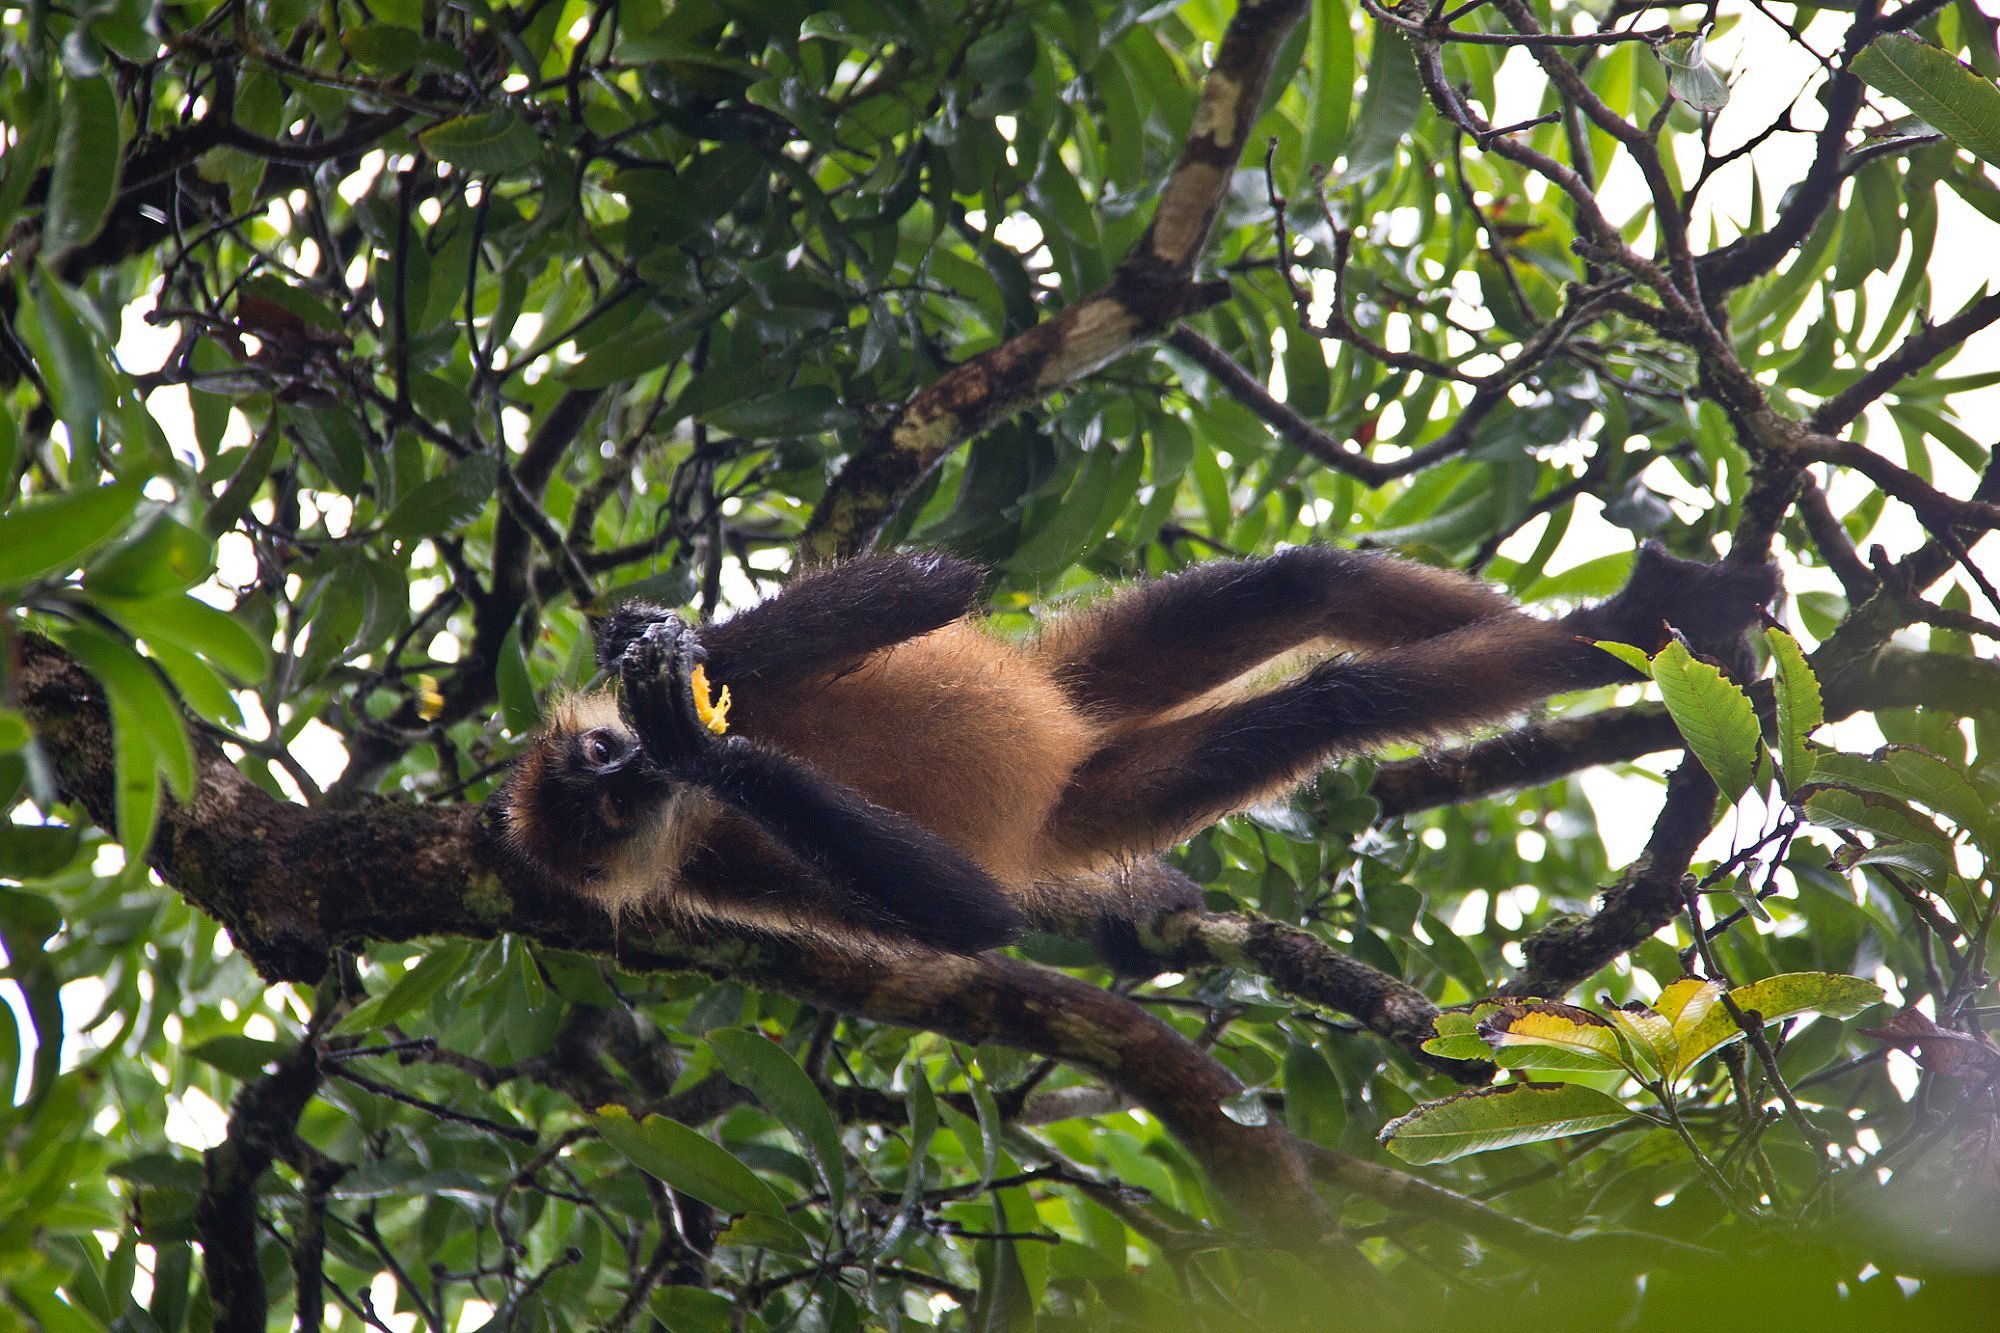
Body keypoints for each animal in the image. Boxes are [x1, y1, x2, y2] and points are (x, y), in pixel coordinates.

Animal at [500, 540, 1784, 956]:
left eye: (604, 766)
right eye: (605, 814)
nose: (632, 768)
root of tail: (1058, 760)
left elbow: (928, 582)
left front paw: (654, 649)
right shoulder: (718, 871)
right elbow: (972, 920)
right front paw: (703, 744)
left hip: (1058, 683)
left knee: (1308, 579)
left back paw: (1646, 622)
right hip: (1098, 795)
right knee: (1333, 700)